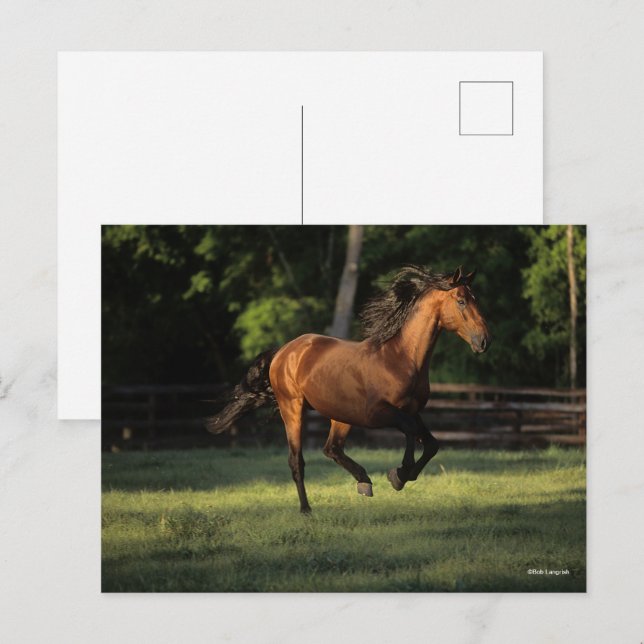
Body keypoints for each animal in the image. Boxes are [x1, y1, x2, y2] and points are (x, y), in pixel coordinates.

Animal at [207, 265, 491, 513]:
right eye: (461, 301)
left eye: (476, 299)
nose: (483, 341)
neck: (400, 358)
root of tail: (284, 351)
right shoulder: (378, 413)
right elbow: (410, 432)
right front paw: (398, 475)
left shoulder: (413, 411)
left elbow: (431, 444)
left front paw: (400, 475)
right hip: (293, 408)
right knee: (297, 460)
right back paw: (306, 509)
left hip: (340, 415)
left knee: (331, 448)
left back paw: (363, 481)